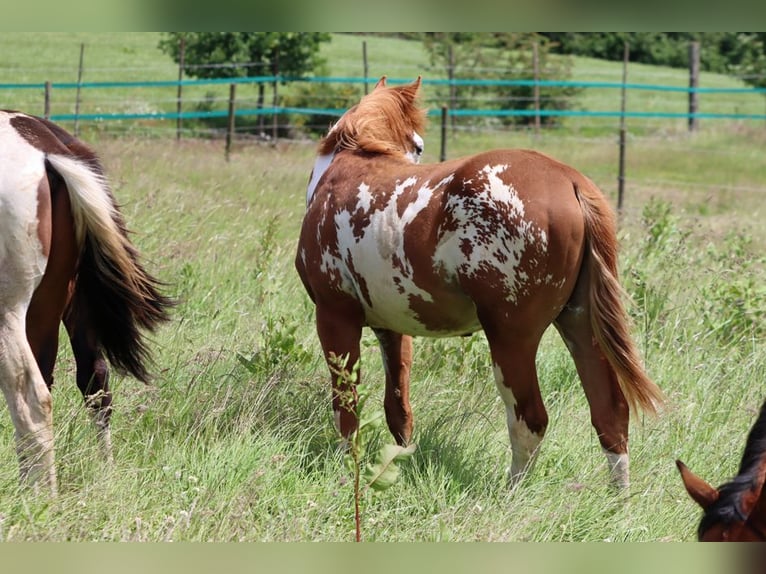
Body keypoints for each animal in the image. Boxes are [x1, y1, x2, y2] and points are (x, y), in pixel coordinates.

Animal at [0, 110, 174, 494]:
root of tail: (46, 148)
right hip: (57, 303)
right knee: (93, 381)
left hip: (10, 313)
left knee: (31, 398)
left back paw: (38, 497)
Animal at [295, 76, 663, 489]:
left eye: (419, 146)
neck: (341, 175)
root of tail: (570, 181)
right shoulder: (392, 326)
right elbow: (398, 407)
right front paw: (399, 460)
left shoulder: (334, 317)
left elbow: (346, 404)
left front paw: (348, 465)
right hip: (580, 325)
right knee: (610, 412)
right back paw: (618, 499)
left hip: (511, 338)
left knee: (531, 419)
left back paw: (512, 492)